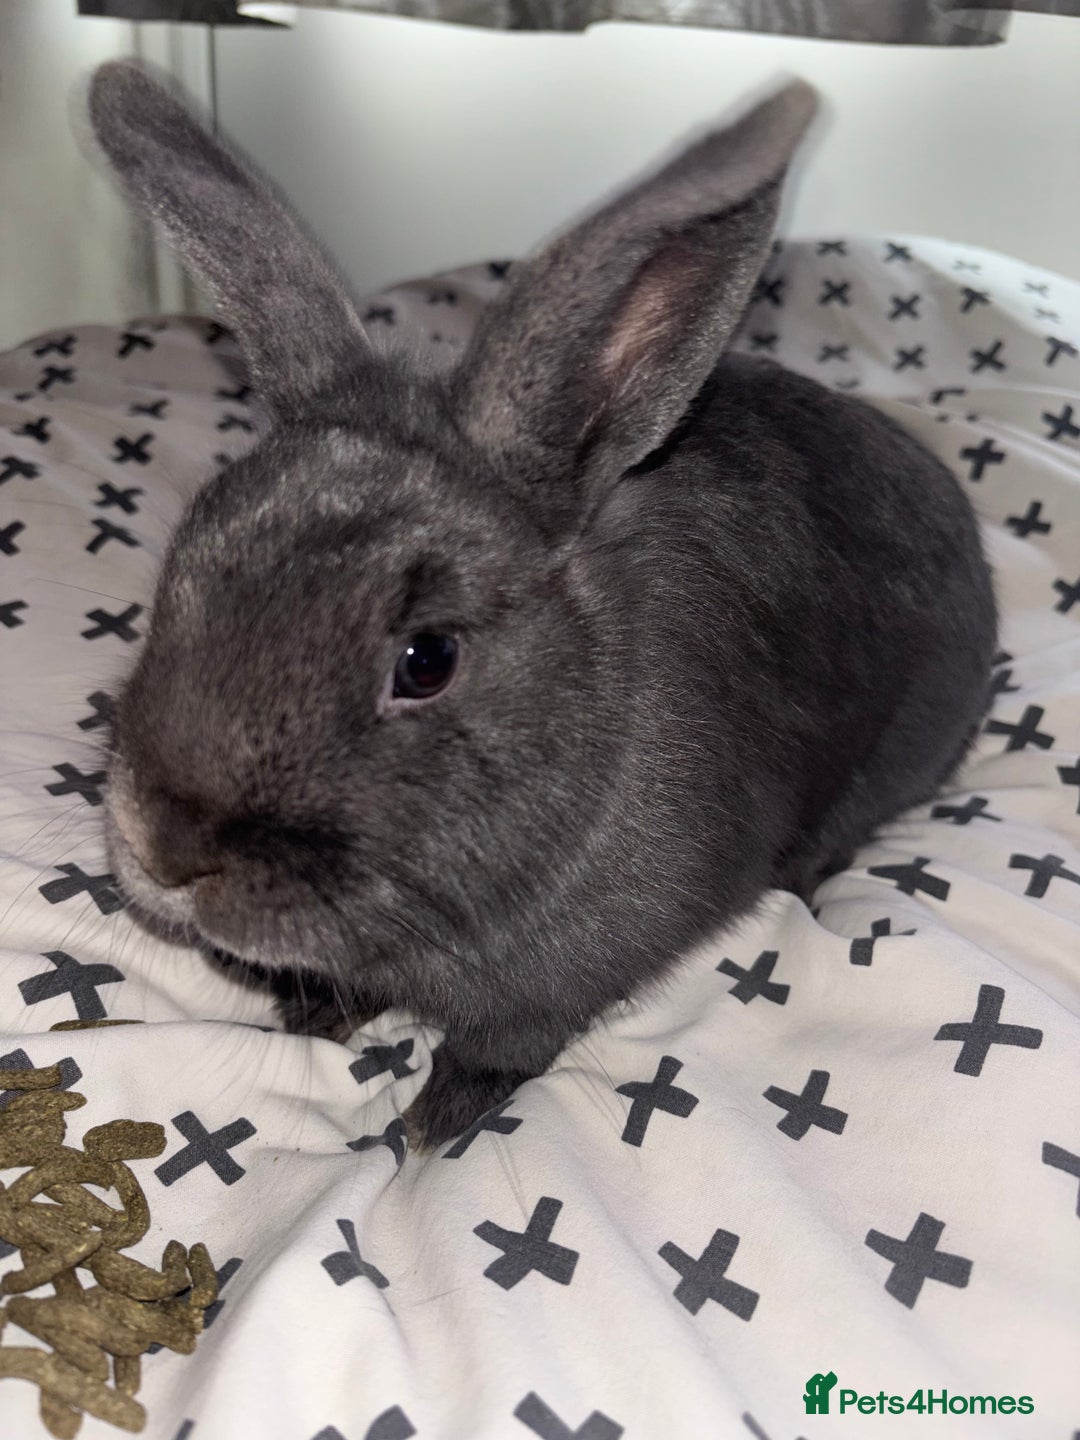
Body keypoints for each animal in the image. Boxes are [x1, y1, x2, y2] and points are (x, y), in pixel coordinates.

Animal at [90, 61, 997, 1150]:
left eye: (426, 660)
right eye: (184, 561)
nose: (162, 850)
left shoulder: (557, 985)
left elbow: (501, 1046)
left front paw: (430, 1127)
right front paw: (313, 1018)